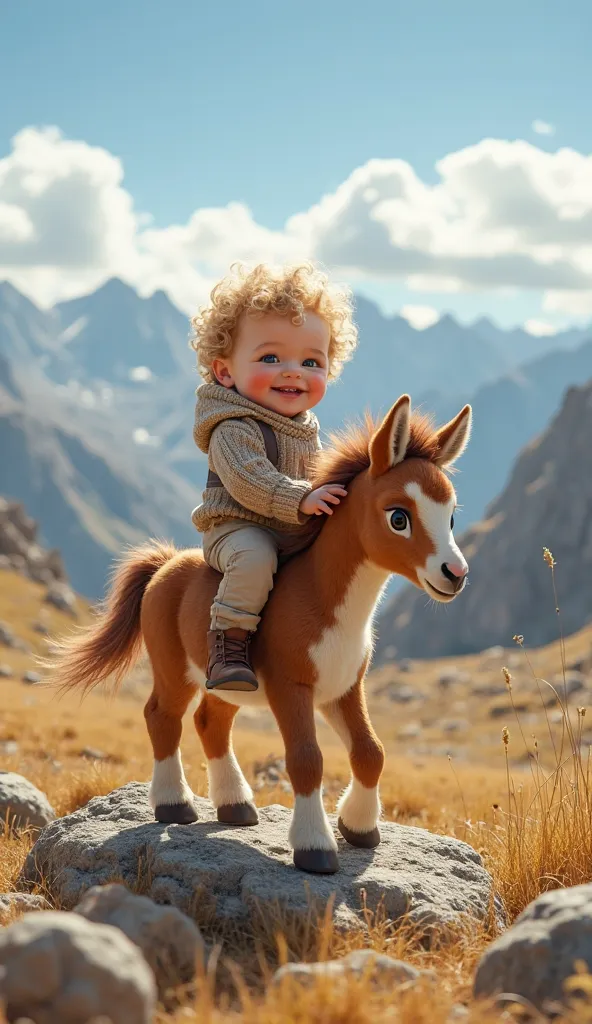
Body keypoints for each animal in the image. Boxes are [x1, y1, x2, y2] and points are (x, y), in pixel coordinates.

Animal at [54, 395, 471, 876]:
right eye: (399, 517)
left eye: (452, 516)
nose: (455, 574)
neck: (324, 602)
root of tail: (165, 563)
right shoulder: (291, 687)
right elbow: (307, 759)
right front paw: (314, 847)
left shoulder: (344, 688)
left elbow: (371, 752)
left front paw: (360, 828)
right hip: (173, 667)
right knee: (163, 716)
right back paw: (174, 805)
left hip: (227, 682)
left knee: (209, 722)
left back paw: (235, 807)